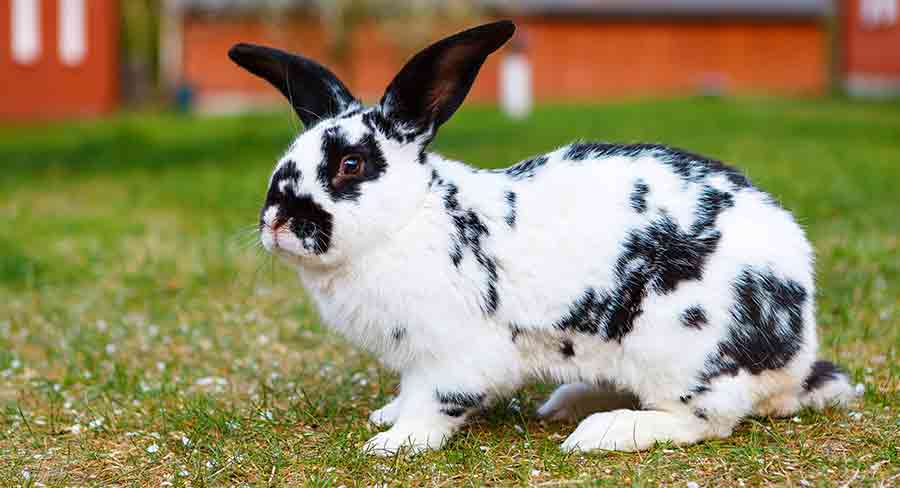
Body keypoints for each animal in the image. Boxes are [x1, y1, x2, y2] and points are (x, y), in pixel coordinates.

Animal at [227, 18, 856, 454]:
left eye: (350, 165)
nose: (275, 220)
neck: (409, 220)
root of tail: (797, 353)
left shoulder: (455, 356)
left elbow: (435, 402)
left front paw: (393, 442)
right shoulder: (414, 360)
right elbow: (408, 391)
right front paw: (387, 416)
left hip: (680, 350)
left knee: (705, 420)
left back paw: (601, 432)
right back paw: (565, 403)